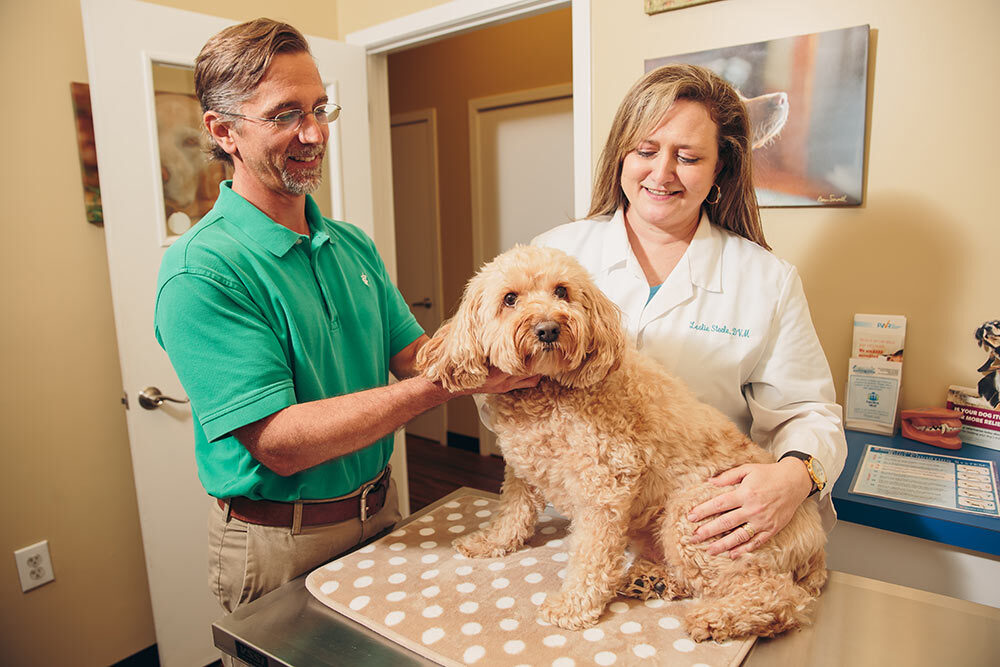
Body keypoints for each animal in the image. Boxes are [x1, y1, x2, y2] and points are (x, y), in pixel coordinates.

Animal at [416, 245, 828, 640]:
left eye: (561, 291)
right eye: (510, 299)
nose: (548, 329)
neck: (549, 392)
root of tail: (816, 543)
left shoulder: (604, 485)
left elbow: (591, 554)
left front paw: (573, 606)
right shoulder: (523, 468)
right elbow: (513, 513)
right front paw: (489, 542)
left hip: (701, 517)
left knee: (776, 594)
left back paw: (717, 618)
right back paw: (653, 580)